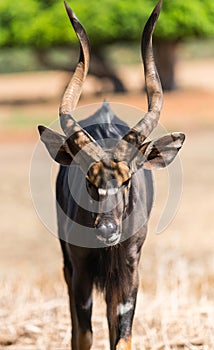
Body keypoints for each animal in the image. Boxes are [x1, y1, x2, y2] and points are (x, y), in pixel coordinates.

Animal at [38, 0, 184, 350]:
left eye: (127, 179)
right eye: (89, 180)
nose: (106, 230)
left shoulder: (130, 269)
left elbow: (123, 335)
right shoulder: (80, 269)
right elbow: (83, 334)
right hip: (70, 264)